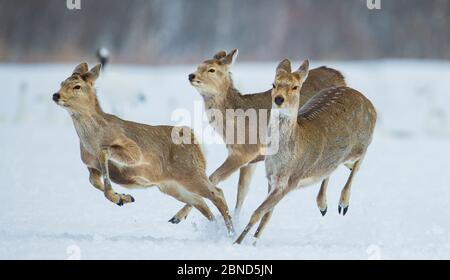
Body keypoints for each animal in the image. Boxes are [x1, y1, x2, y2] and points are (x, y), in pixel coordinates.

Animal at [52, 63, 234, 234]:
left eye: (77, 86)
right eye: (62, 83)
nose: (56, 95)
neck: (91, 141)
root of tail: (194, 140)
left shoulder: (134, 151)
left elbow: (105, 153)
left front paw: (118, 197)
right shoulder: (90, 165)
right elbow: (94, 181)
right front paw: (123, 198)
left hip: (190, 172)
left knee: (217, 194)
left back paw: (230, 231)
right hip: (170, 186)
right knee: (201, 202)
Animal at [178, 49, 346, 221]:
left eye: (211, 69)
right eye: (198, 66)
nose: (191, 75)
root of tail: (340, 76)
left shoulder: (244, 151)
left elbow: (212, 178)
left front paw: (178, 216)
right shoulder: (251, 160)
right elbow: (241, 191)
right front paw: (235, 220)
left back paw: (328, 204)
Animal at [234, 59, 378, 245]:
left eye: (295, 87)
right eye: (274, 84)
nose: (278, 99)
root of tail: (369, 103)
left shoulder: (291, 180)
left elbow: (257, 213)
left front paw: (236, 242)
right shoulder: (271, 178)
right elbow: (267, 215)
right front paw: (251, 242)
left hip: (361, 142)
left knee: (360, 159)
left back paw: (343, 203)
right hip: (337, 158)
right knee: (337, 167)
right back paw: (323, 205)